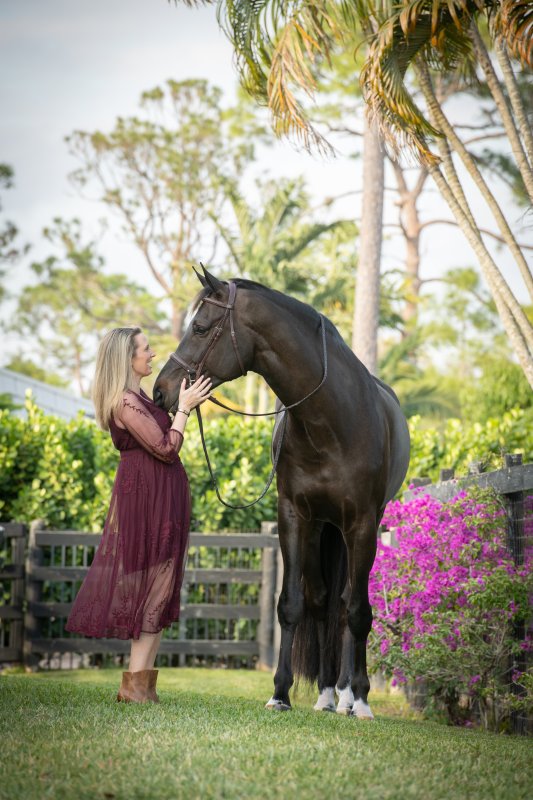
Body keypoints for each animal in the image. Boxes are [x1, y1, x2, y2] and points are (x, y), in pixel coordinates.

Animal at [153, 266, 410, 719]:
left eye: (200, 328)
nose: (160, 390)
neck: (332, 420)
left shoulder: (362, 523)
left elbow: (358, 612)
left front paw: (362, 698)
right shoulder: (294, 516)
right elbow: (292, 604)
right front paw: (280, 693)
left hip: (350, 530)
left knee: (346, 605)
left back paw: (348, 695)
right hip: (323, 529)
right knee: (324, 602)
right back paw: (327, 693)